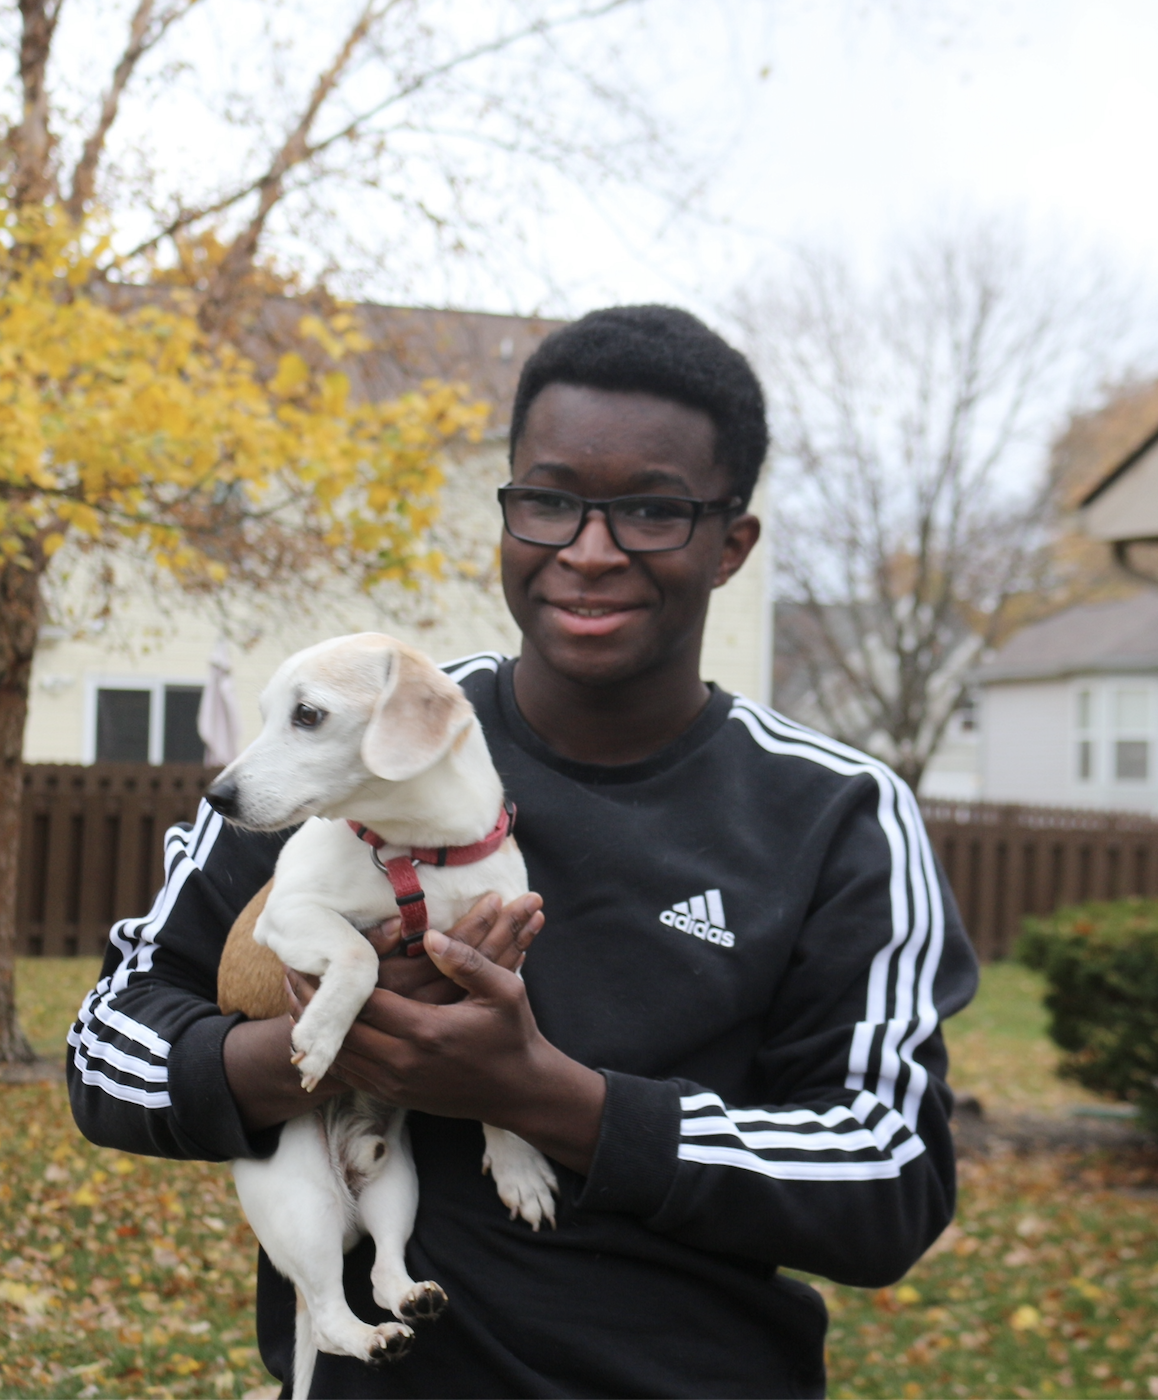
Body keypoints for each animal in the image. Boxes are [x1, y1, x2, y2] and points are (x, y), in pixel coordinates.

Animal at [210, 638, 560, 1400]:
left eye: (308, 715)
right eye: (266, 712)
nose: (216, 797)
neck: (419, 854)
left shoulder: (501, 971)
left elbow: (503, 1078)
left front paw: (516, 1164)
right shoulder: (289, 915)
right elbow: (359, 953)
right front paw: (320, 1036)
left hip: (397, 1187)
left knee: (380, 1268)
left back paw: (411, 1298)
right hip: (303, 1203)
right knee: (328, 1314)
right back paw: (371, 1339)